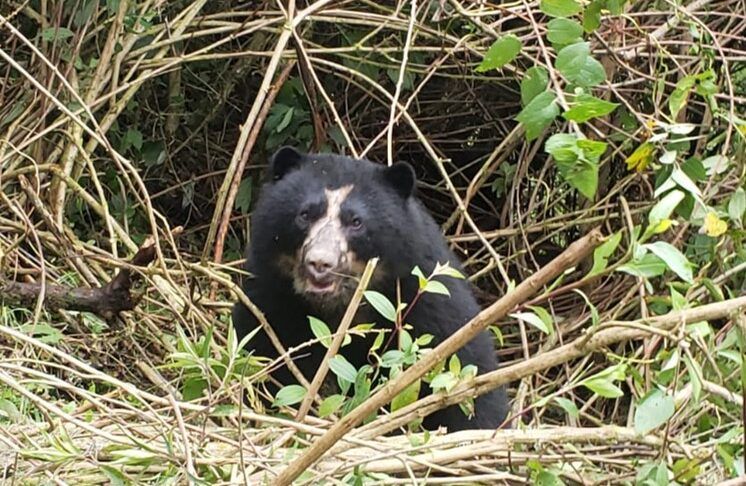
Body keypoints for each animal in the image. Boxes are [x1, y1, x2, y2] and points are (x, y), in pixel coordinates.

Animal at [231, 146, 509, 431]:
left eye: (356, 222)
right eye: (305, 214)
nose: (320, 263)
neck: (339, 303)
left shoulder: (426, 295)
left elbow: (466, 364)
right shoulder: (272, 295)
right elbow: (260, 351)